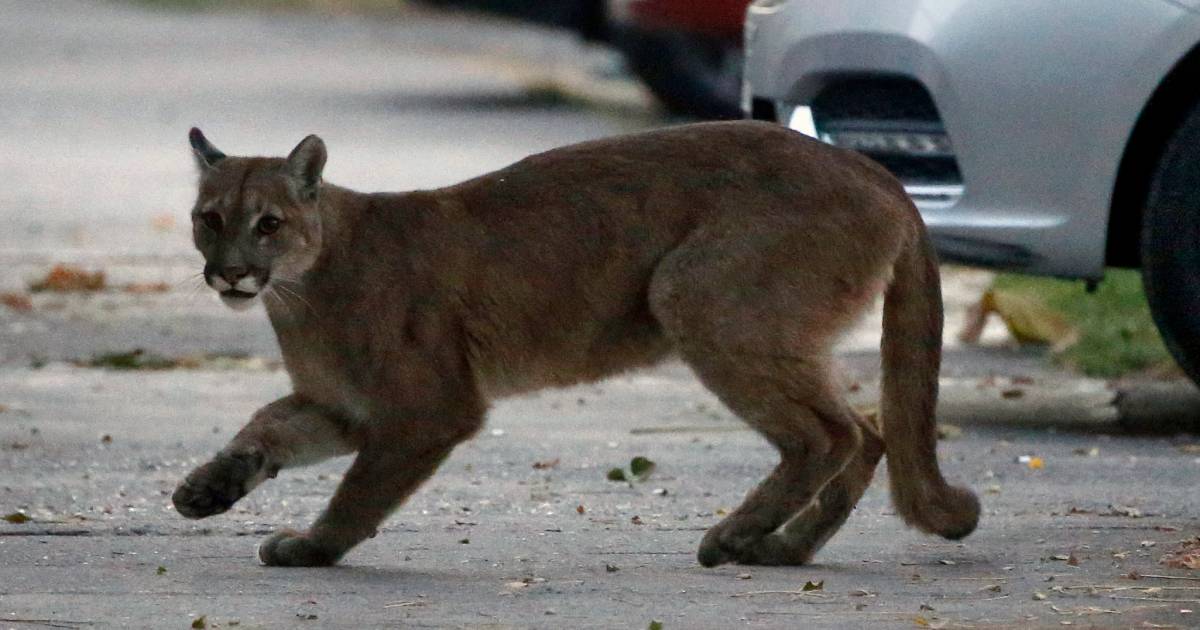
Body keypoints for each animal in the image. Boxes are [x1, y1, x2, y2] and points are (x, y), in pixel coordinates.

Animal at [174, 120, 979, 566]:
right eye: (209, 218)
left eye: (268, 223)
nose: (229, 272)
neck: (301, 289)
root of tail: (873, 168)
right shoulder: (345, 405)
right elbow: (267, 426)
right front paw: (208, 488)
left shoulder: (427, 409)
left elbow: (359, 491)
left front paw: (314, 548)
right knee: (869, 432)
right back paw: (783, 549)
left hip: (695, 294)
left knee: (827, 435)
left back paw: (736, 537)